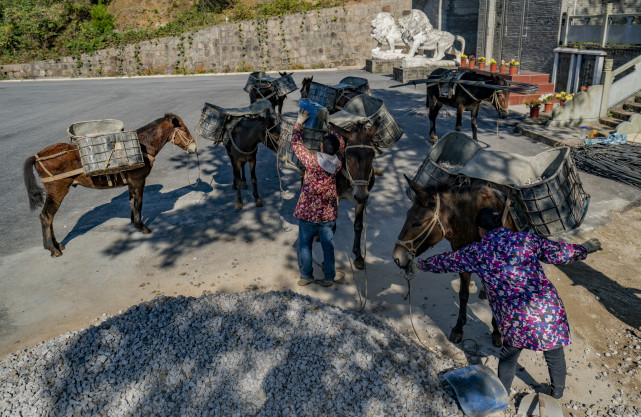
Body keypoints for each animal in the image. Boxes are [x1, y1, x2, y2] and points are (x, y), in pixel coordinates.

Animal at [22, 114, 196, 256]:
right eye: (185, 130)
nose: (194, 147)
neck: (142, 146)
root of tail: (37, 156)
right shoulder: (139, 181)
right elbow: (139, 204)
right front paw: (142, 227)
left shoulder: (132, 183)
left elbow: (132, 202)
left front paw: (134, 224)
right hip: (57, 189)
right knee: (46, 216)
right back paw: (53, 249)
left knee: (49, 217)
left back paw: (57, 245)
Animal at [388, 177, 516, 346]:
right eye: (407, 214)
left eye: (417, 223)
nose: (397, 257)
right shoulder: (462, 260)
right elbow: (463, 294)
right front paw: (458, 329)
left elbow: (497, 296)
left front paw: (497, 332)